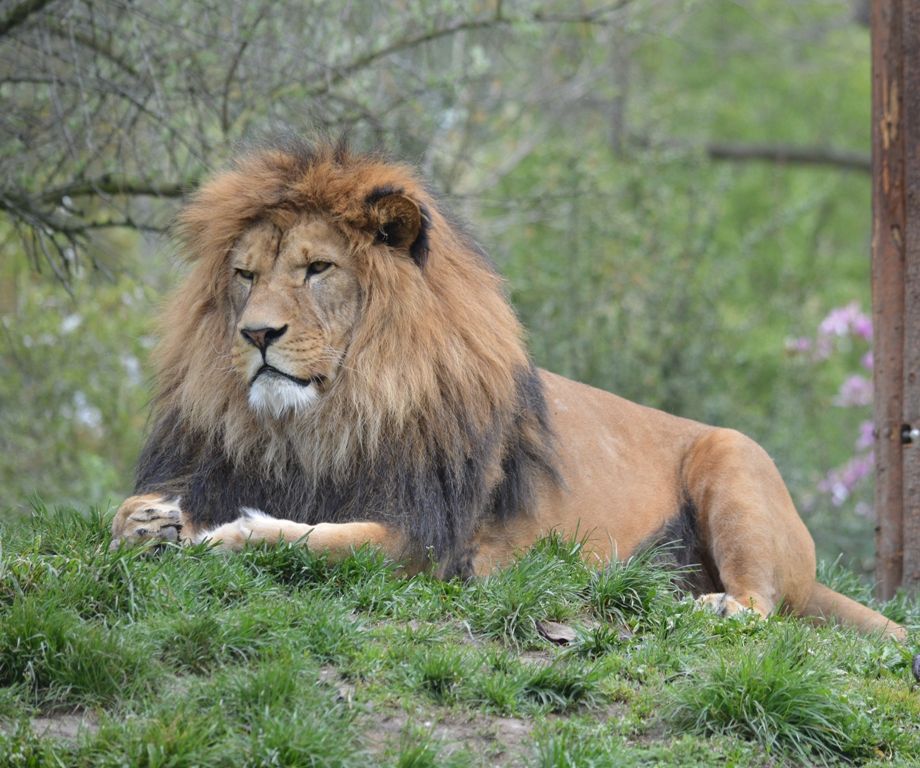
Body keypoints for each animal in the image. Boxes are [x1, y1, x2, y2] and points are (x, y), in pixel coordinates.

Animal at [109, 140, 904, 640]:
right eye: (245, 275)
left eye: (317, 269)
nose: (255, 334)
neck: (322, 425)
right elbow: (128, 515)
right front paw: (149, 521)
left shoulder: (430, 544)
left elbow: (316, 542)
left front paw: (229, 535)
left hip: (733, 459)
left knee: (762, 604)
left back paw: (707, 609)